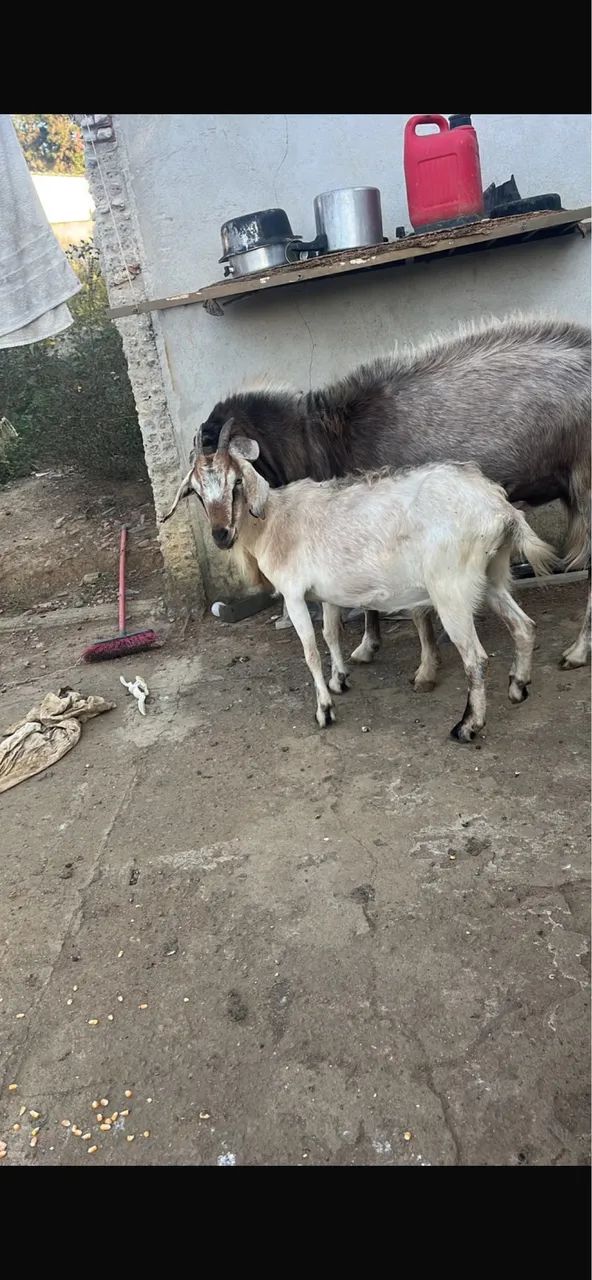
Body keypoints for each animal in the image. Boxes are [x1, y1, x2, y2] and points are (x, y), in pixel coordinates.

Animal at [161, 420, 558, 741]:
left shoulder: (293, 593)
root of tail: (499, 508)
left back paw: (467, 726)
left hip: (451, 588)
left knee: (476, 657)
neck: (275, 521)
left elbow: (310, 649)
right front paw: (340, 679)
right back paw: (518, 686)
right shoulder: (326, 592)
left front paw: (324, 709)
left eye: (236, 481)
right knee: (524, 626)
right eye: (196, 491)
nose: (221, 535)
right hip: (491, 575)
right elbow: (330, 634)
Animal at [196, 315, 591, 673]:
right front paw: (369, 645)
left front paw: (421, 658)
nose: (221, 536)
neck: (323, 441)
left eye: (233, 476)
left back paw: (577, 651)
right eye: (197, 490)